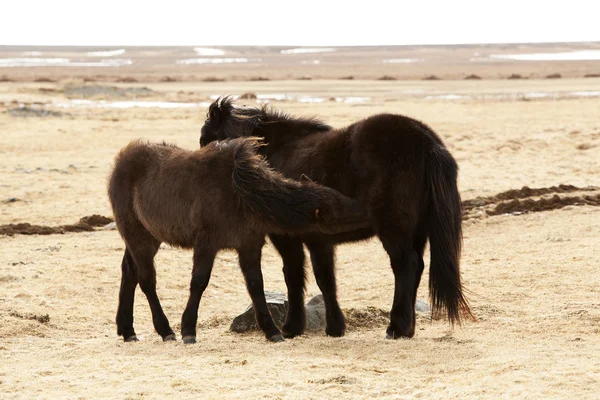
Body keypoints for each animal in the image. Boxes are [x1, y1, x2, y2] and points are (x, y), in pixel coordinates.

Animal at [109, 138, 368, 344]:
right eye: (335, 211)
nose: (365, 209)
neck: (239, 193)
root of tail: (120, 161)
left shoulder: (249, 246)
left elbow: (256, 286)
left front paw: (272, 331)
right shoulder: (207, 244)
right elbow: (199, 283)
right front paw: (188, 330)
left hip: (148, 238)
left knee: (129, 272)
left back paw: (127, 330)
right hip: (138, 236)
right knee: (146, 280)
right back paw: (165, 330)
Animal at [199, 98, 472, 340]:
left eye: (205, 140)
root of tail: (427, 142)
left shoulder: (287, 238)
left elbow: (294, 275)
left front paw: (292, 328)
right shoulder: (318, 240)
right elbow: (325, 279)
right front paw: (334, 327)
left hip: (394, 229)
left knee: (406, 265)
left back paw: (396, 328)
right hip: (417, 231)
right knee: (416, 268)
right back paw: (408, 329)